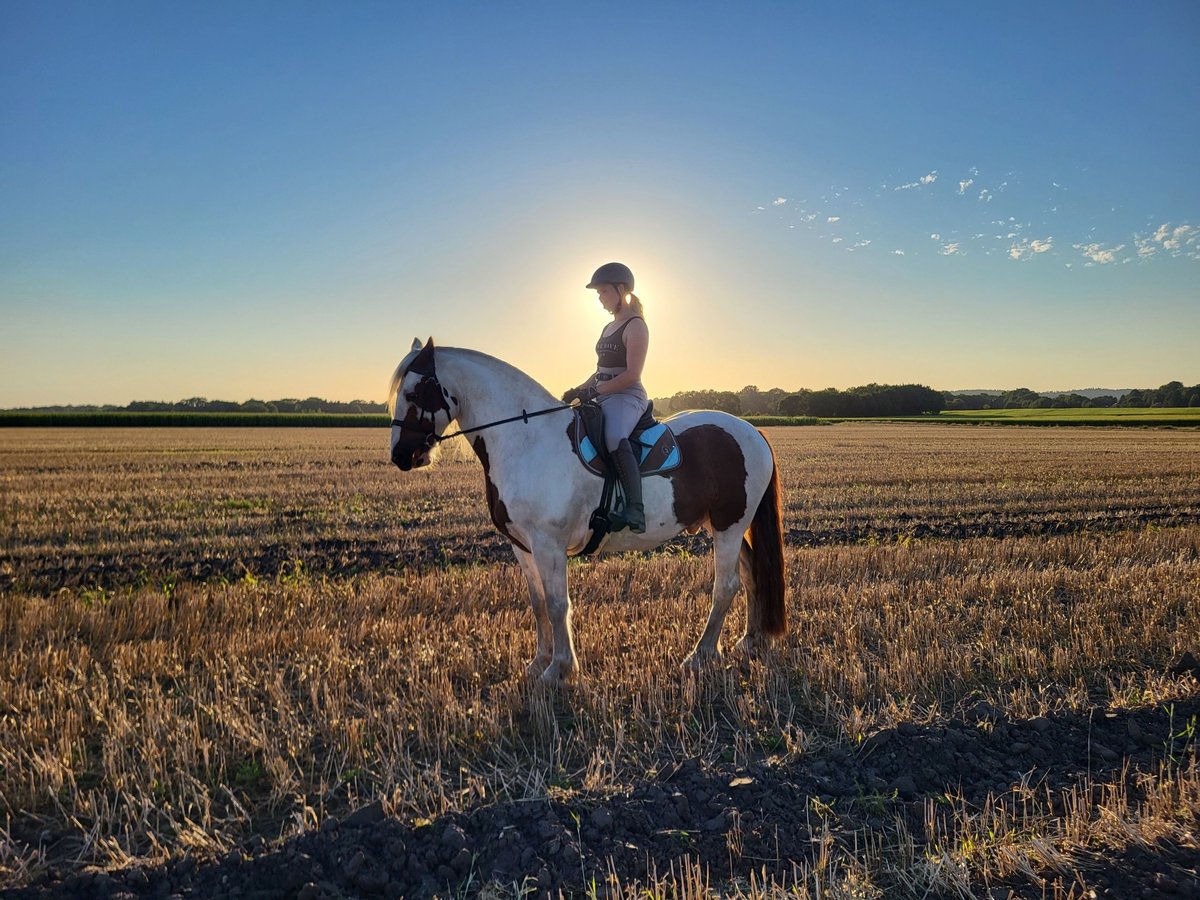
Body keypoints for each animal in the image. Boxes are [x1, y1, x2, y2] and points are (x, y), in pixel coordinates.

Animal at [388, 338, 787, 681]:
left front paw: (559, 669)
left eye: (414, 391)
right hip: (726, 526)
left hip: (729, 525)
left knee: (726, 586)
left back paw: (700, 655)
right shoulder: (521, 545)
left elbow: (556, 604)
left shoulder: (548, 543)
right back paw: (749, 642)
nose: (401, 456)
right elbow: (537, 602)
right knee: (751, 575)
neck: (526, 439)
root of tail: (752, 431)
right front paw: (539, 662)